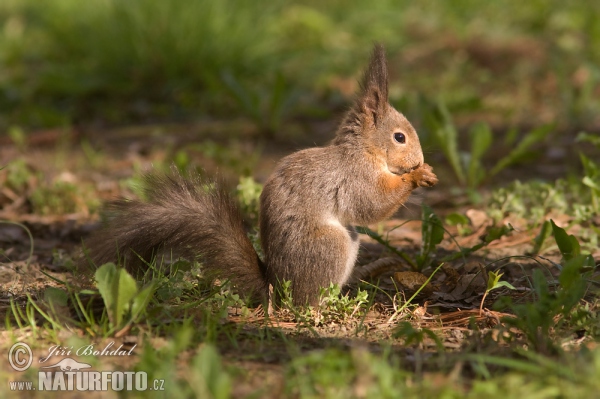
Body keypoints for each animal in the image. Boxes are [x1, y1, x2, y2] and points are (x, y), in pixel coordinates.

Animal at [83, 44, 436, 306]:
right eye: (400, 137)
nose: (419, 159)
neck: (364, 150)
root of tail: (274, 288)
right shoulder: (354, 177)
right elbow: (372, 204)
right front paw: (415, 177)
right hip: (331, 246)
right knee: (305, 301)